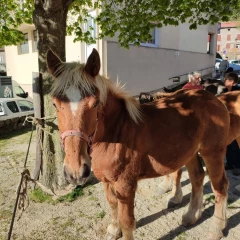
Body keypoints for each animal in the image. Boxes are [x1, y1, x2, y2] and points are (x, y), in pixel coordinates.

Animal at [46, 48, 229, 240]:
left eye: (95, 103)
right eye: (55, 104)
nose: (75, 172)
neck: (115, 134)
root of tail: (214, 98)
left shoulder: (125, 186)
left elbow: (127, 222)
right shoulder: (106, 181)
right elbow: (112, 204)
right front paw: (113, 230)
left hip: (213, 152)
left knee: (220, 187)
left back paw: (217, 228)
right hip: (191, 153)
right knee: (197, 178)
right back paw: (191, 216)